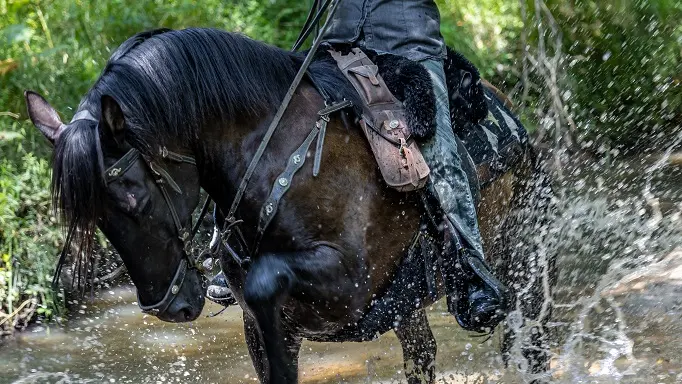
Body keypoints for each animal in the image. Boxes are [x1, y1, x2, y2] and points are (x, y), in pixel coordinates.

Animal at [26, 28, 556, 382]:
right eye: (96, 217)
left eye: (134, 195)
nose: (169, 306)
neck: (280, 158)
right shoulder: (261, 328)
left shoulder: (350, 284)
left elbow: (266, 278)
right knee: (421, 355)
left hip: (521, 259)